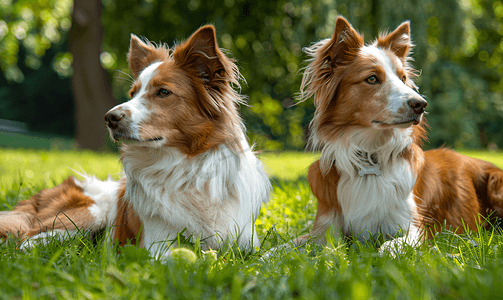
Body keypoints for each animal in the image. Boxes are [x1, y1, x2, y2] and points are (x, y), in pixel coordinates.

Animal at [0, 25, 272, 258]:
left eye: (163, 92)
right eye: (133, 94)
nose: (109, 118)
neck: (186, 167)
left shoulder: (246, 243)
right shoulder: (157, 247)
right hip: (89, 213)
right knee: (28, 239)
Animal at [298, 16, 503, 251]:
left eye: (403, 79)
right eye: (371, 79)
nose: (420, 104)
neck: (370, 159)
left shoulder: (415, 230)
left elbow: (386, 247)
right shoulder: (322, 231)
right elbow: (286, 246)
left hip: (496, 183)